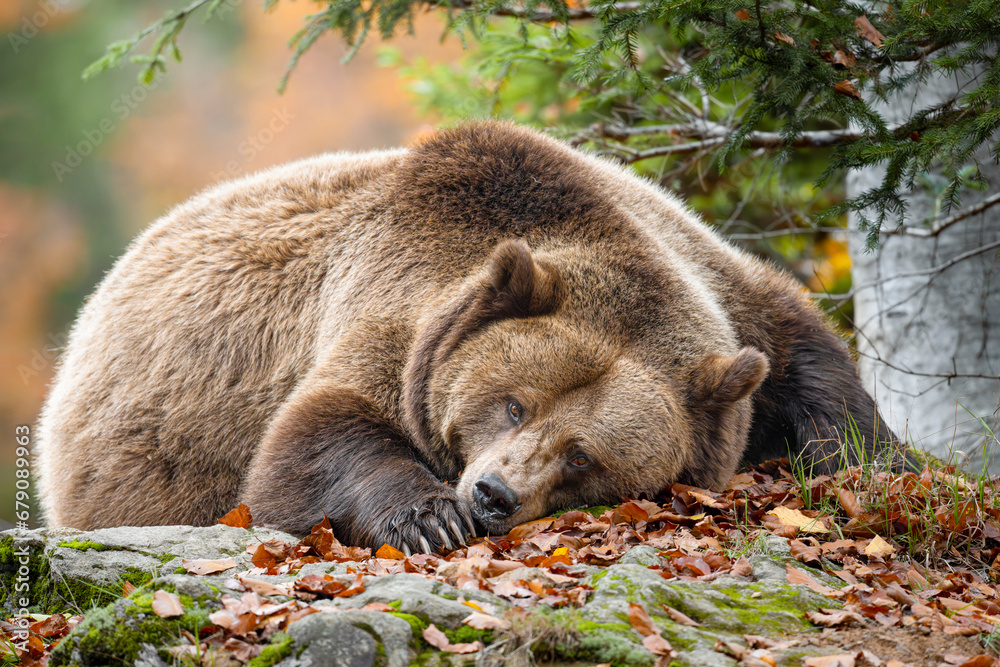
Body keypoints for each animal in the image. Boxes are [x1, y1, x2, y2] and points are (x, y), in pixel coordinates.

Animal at [35, 121, 907, 553]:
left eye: (584, 454)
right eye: (514, 403)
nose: (492, 494)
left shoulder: (727, 304)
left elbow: (809, 361)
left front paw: (879, 459)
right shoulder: (400, 307)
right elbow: (314, 435)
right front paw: (429, 516)